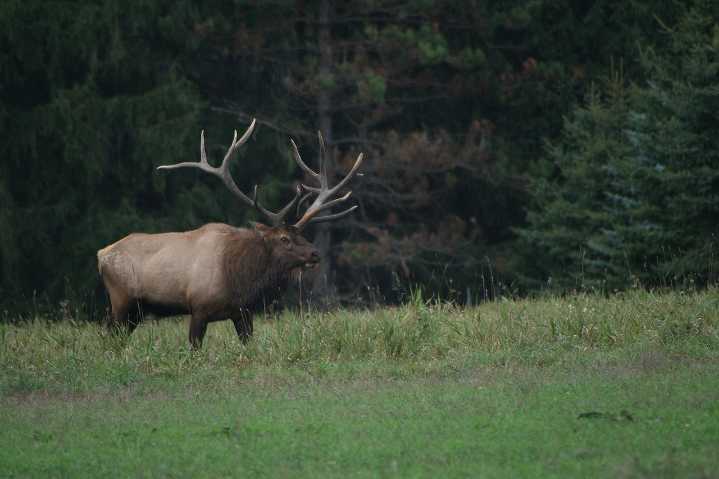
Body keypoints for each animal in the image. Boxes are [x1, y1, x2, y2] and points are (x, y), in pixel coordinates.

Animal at [96, 119, 363, 347]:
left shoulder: (243, 312)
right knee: (110, 336)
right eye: (284, 239)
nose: (315, 253)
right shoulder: (199, 307)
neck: (240, 280)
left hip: (135, 311)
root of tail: (101, 254)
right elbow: (194, 347)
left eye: (302, 235)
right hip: (120, 300)